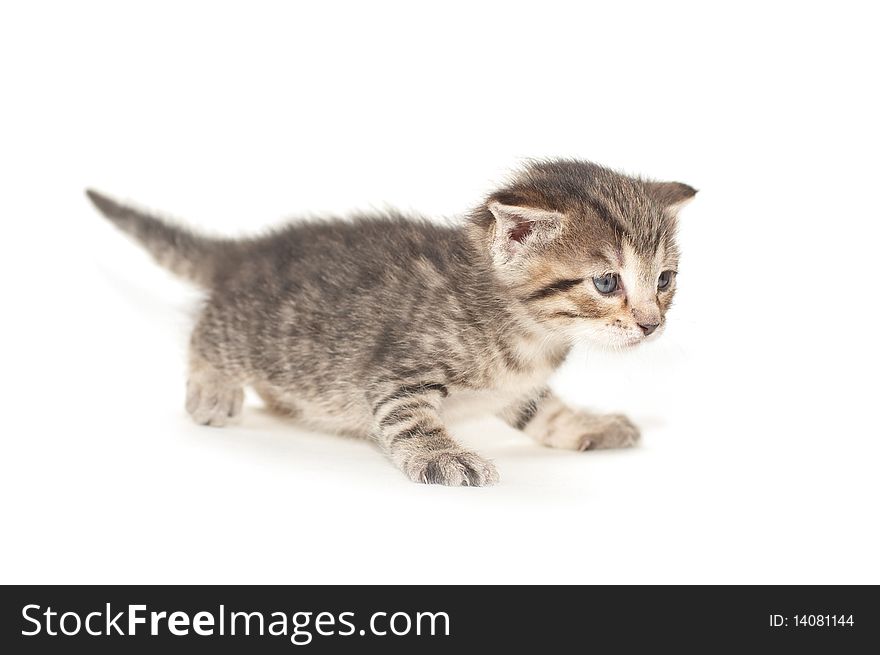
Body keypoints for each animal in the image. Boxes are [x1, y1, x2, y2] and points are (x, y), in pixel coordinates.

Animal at [87, 159, 696, 486]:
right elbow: (409, 418)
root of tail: (249, 253)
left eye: (664, 280)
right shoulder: (398, 370)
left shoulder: (518, 387)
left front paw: (588, 424)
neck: (529, 334)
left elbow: (543, 411)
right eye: (607, 283)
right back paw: (212, 388)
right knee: (205, 332)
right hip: (258, 332)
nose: (651, 325)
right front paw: (445, 456)